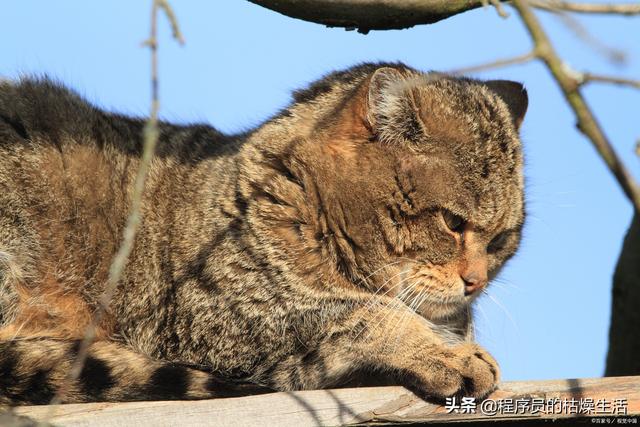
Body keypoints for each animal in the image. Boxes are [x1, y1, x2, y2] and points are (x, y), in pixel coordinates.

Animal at [0, 63, 528, 404]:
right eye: (453, 223)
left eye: (502, 241)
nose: (476, 281)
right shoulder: (213, 317)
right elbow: (368, 313)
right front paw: (445, 353)